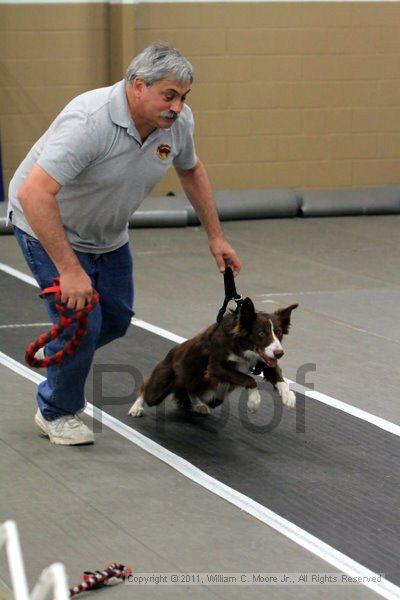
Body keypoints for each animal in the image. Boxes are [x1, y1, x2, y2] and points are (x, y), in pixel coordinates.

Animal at [128, 298, 296, 418]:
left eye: (279, 332)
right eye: (261, 333)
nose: (280, 353)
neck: (241, 345)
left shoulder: (265, 360)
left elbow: (279, 378)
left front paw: (288, 397)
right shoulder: (215, 367)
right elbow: (249, 379)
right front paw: (254, 401)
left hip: (213, 395)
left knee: (191, 390)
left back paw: (199, 405)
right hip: (161, 384)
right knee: (146, 389)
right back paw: (136, 408)